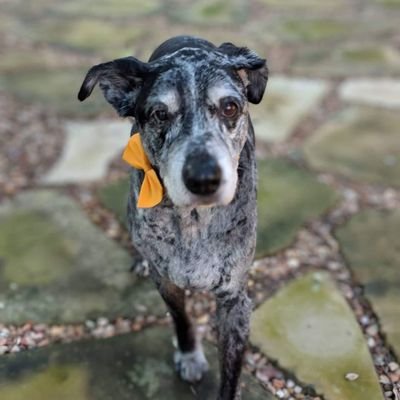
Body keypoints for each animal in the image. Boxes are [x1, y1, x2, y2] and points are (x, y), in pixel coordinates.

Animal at [77, 36, 268, 398]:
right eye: (159, 114)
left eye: (230, 107)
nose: (204, 178)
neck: (194, 221)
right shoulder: (166, 281)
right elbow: (181, 319)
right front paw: (189, 356)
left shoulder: (235, 302)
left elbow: (231, 377)